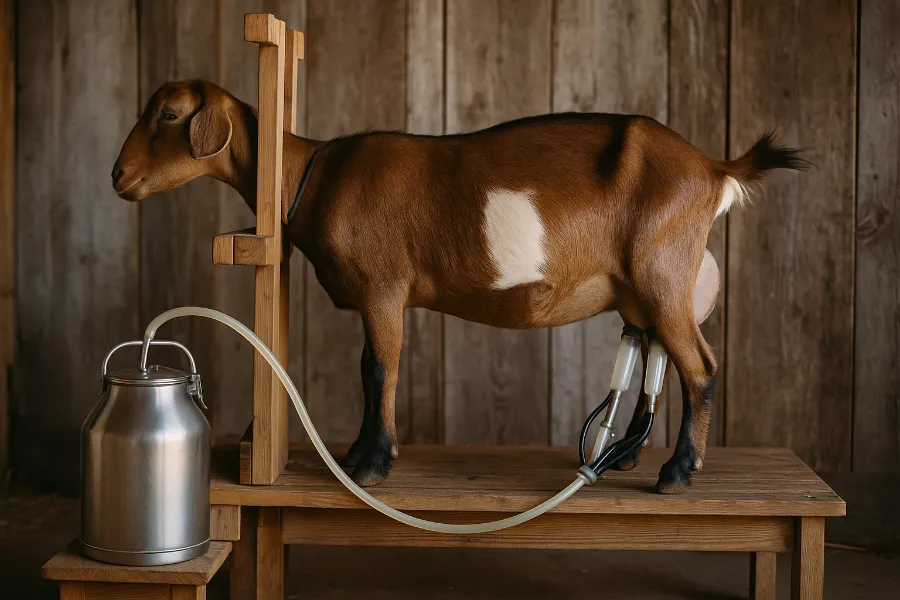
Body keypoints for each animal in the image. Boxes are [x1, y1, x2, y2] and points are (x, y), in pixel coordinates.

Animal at [112, 80, 807, 492]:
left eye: (169, 114)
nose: (118, 177)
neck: (310, 171)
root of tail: (715, 168)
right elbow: (372, 367)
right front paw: (364, 454)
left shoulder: (382, 285)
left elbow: (379, 367)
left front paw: (370, 463)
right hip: (649, 287)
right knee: (660, 354)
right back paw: (629, 455)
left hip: (665, 273)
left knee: (702, 368)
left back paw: (678, 472)